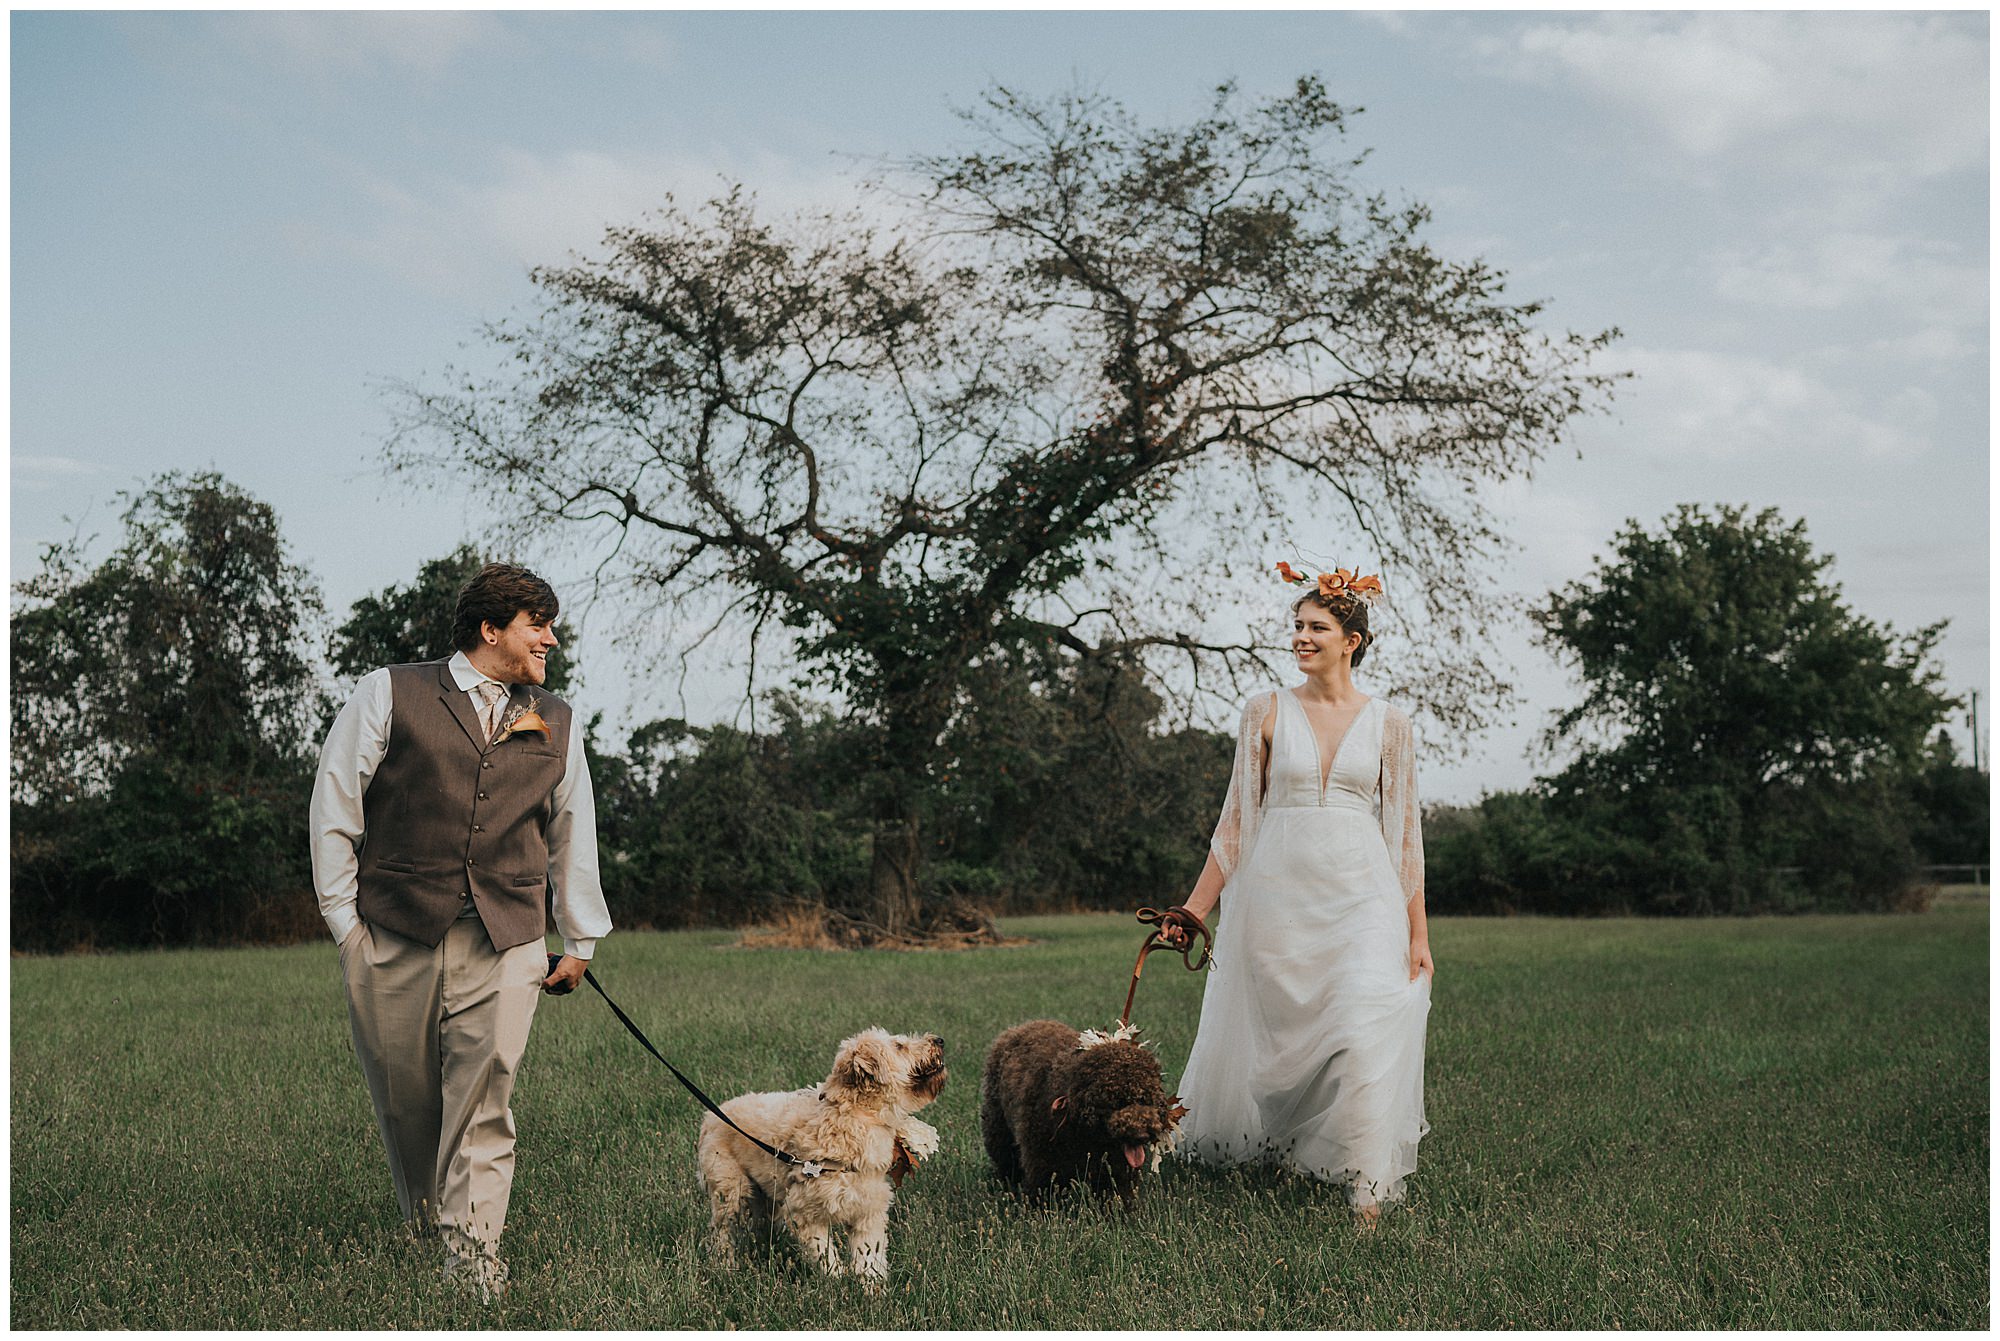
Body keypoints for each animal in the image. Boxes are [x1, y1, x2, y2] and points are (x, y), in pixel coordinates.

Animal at [976, 1024, 1176, 1216]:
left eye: (1145, 1099)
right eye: (1116, 1101)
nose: (1142, 1135)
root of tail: (1016, 1029)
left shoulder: (1115, 1167)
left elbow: (1117, 1195)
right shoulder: (1042, 1162)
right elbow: (1042, 1194)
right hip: (998, 1129)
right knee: (1006, 1164)